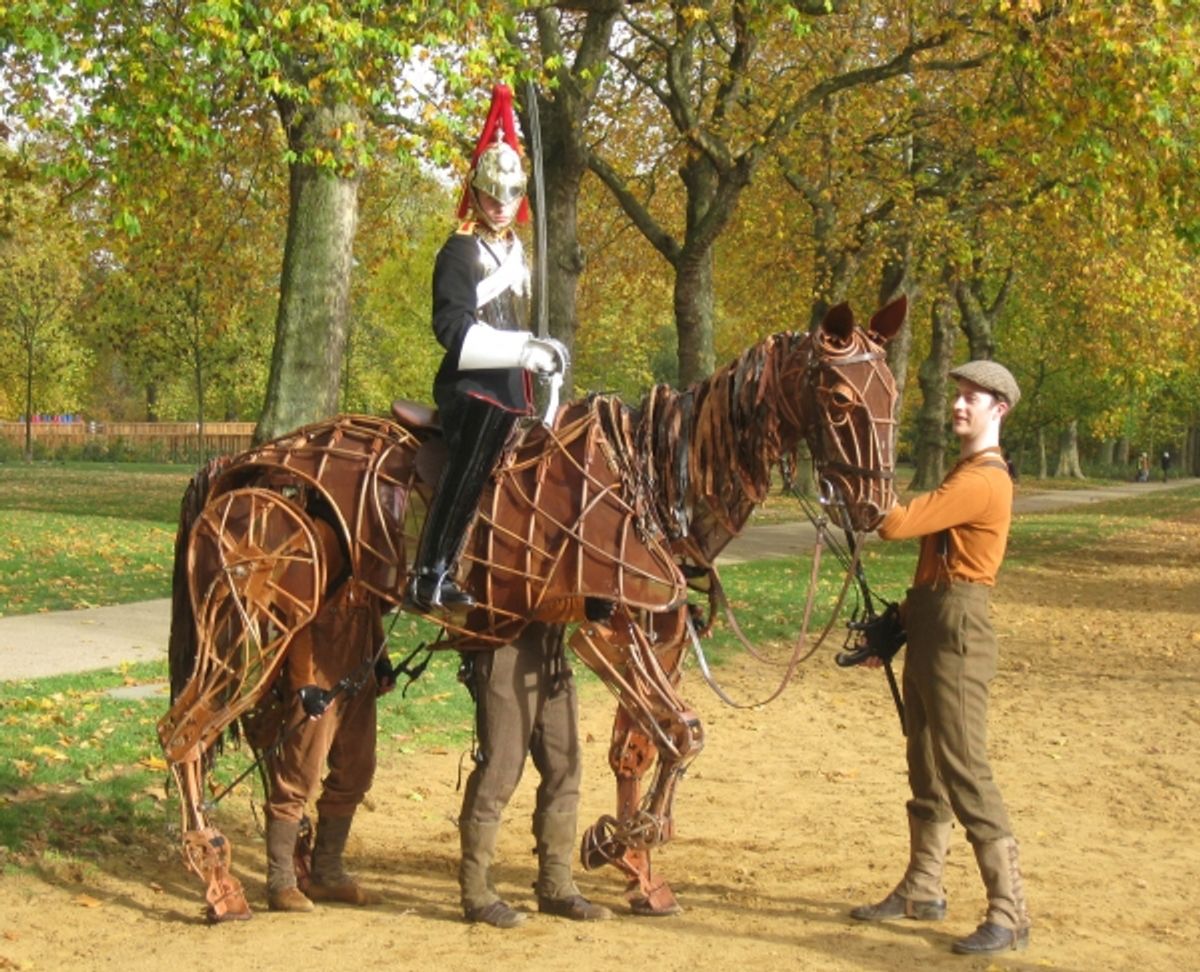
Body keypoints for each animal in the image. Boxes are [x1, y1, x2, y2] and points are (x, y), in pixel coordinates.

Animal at [157, 296, 905, 922]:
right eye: (839, 396)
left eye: (892, 392)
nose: (875, 507)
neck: (654, 477)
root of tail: (243, 463)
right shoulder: (607, 633)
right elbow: (684, 733)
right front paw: (624, 841)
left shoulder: (654, 632)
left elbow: (639, 748)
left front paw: (631, 863)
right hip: (252, 624)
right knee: (183, 732)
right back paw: (218, 882)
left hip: (300, 634)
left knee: (280, 739)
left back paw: (296, 867)